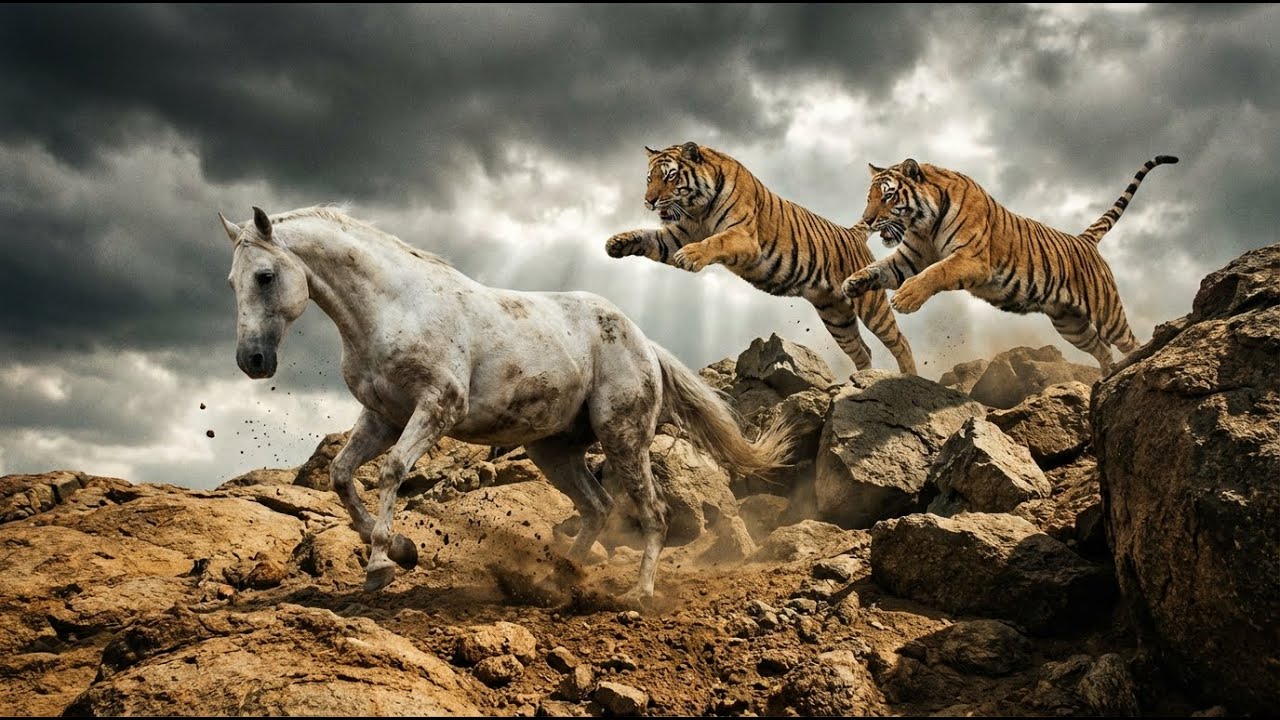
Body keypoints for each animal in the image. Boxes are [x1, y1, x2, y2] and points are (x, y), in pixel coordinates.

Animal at [217, 206, 793, 598]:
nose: (252, 360)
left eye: (265, 276)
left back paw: (639, 593)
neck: (393, 307)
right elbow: (341, 474)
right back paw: (559, 580)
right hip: (554, 450)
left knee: (651, 512)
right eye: (230, 282)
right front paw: (402, 551)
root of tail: (645, 342)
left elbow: (392, 471)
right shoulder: (382, 417)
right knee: (598, 507)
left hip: (623, 437)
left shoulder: (437, 407)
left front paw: (381, 564)